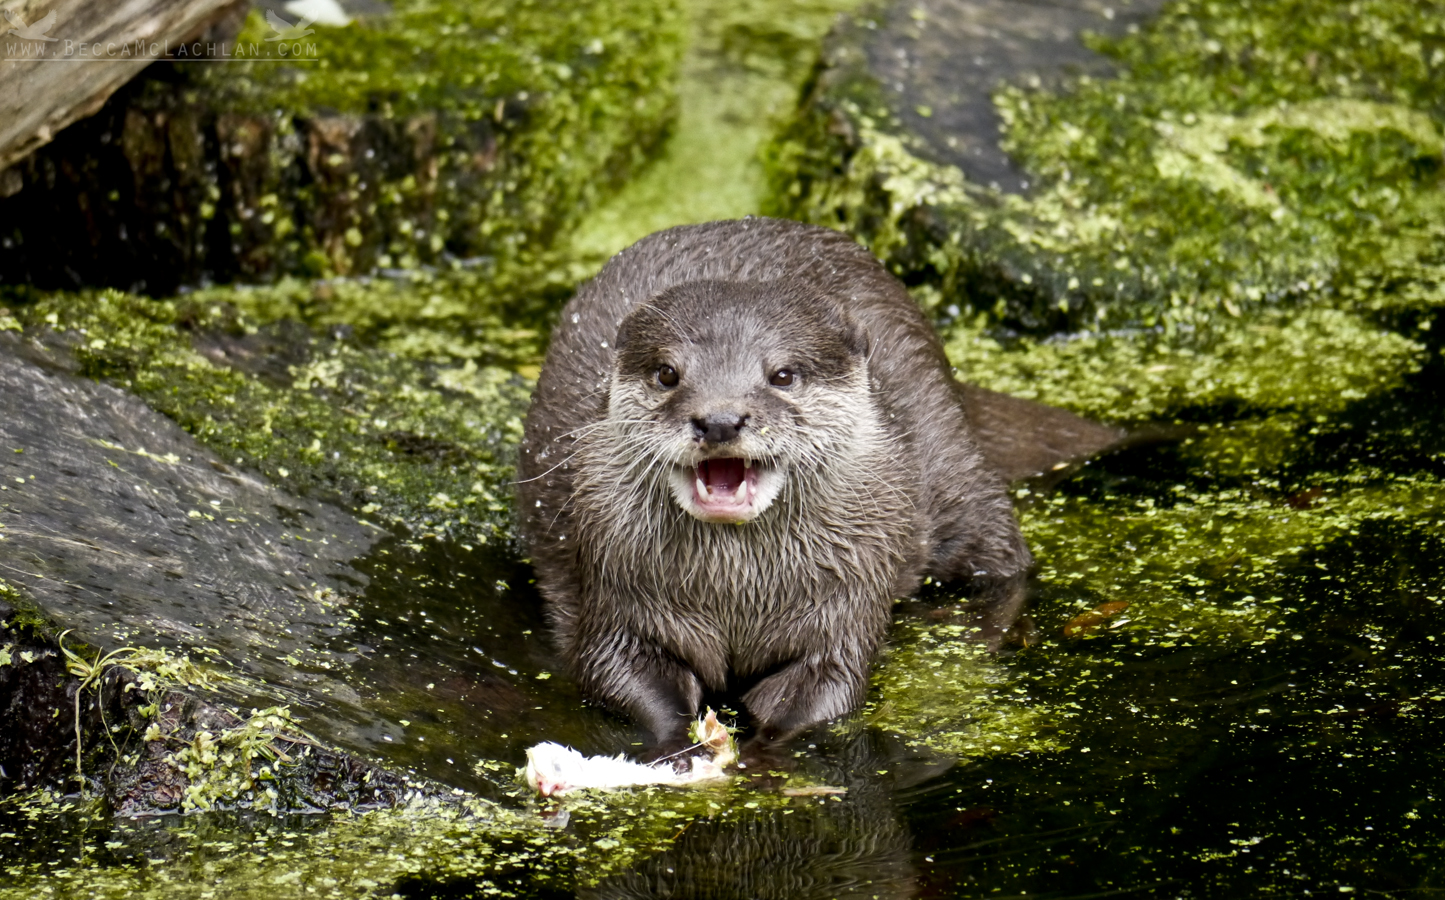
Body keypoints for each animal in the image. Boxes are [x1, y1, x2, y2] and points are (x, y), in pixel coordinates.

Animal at [517, 217, 1030, 754]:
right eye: (667, 373)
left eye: (782, 374)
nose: (720, 419)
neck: (738, 596)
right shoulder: (617, 594)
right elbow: (614, 674)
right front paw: (680, 748)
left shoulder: (844, 609)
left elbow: (825, 689)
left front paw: (764, 756)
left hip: (958, 470)